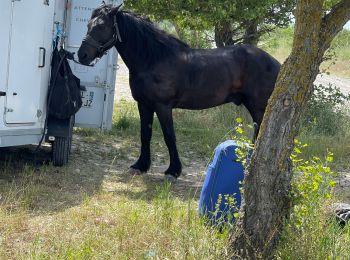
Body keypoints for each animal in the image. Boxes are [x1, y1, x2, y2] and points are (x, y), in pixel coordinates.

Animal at [78, 4, 280, 179]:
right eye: (88, 25)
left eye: (101, 26)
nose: (82, 55)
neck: (153, 59)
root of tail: (275, 63)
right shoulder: (144, 104)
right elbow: (145, 134)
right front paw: (141, 165)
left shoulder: (163, 106)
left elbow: (169, 137)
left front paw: (173, 171)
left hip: (259, 108)